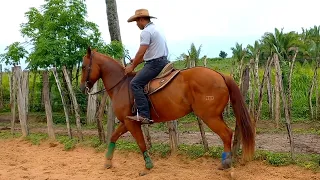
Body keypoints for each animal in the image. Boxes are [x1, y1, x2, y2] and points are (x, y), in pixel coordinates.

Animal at [79, 47, 255, 171]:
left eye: (83, 67)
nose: (82, 88)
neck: (121, 85)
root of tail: (220, 75)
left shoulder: (132, 123)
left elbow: (141, 143)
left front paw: (148, 166)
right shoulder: (126, 122)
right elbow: (113, 137)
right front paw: (107, 162)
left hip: (210, 117)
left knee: (226, 134)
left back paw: (225, 163)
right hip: (216, 116)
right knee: (228, 134)